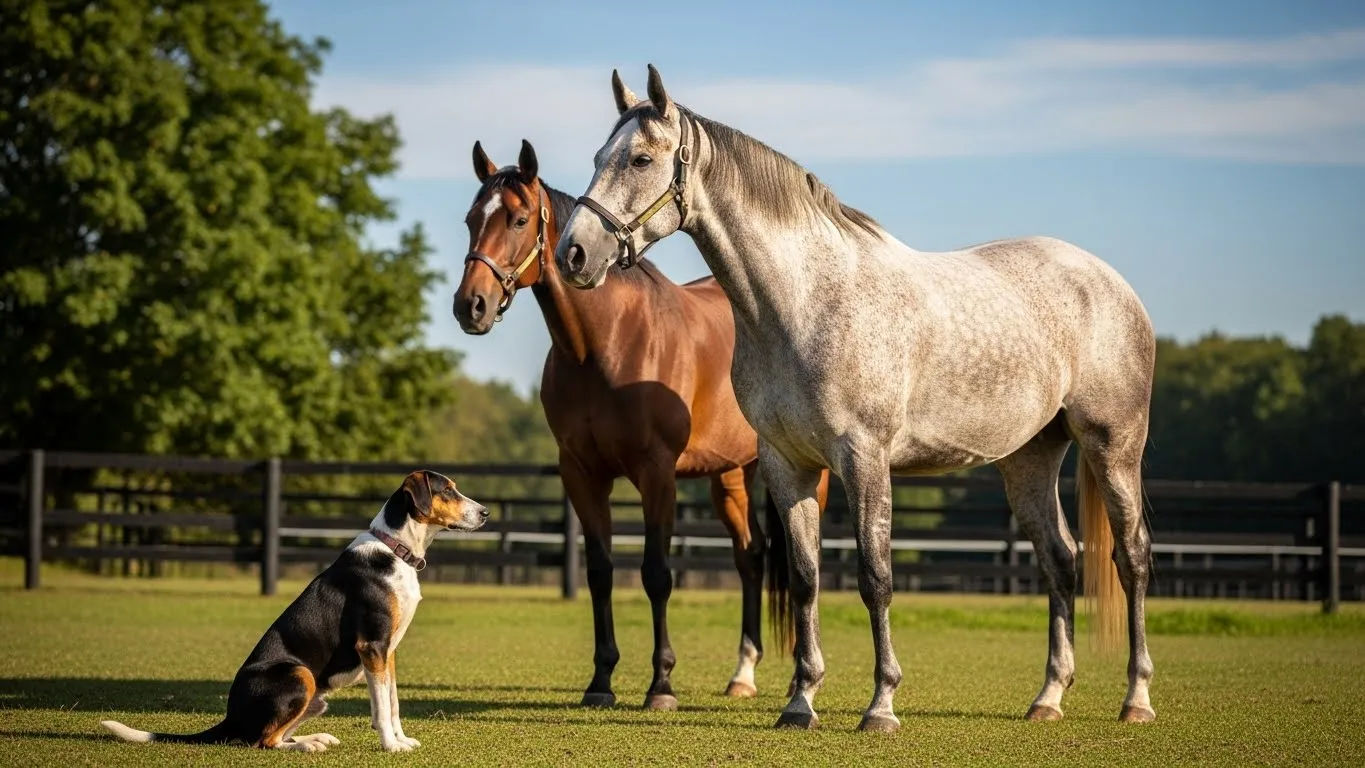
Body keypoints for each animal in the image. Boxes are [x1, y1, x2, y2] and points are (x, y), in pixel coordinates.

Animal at [452, 139, 827, 710]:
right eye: (472, 219)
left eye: (518, 219)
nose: (470, 305)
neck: (606, 345)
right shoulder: (582, 475)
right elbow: (601, 573)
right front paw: (601, 680)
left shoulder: (656, 474)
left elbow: (656, 574)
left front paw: (662, 684)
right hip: (730, 476)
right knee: (751, 556)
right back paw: (743, 673)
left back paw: (798, 681)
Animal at [554, 66, 1157, 732]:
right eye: (598, 157)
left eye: (640, 159)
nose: (573, 254)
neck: (806, 301)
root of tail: (1111, 283)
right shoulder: (787, 464)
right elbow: (806, 577)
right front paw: (800, 701)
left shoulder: (863, 458)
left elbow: (875, 577)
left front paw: (881, 705)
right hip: (1029, 459)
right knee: (1061, 560)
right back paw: (1048, 697)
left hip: (1113, 445)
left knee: (1131, 557)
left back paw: (1136, 697)